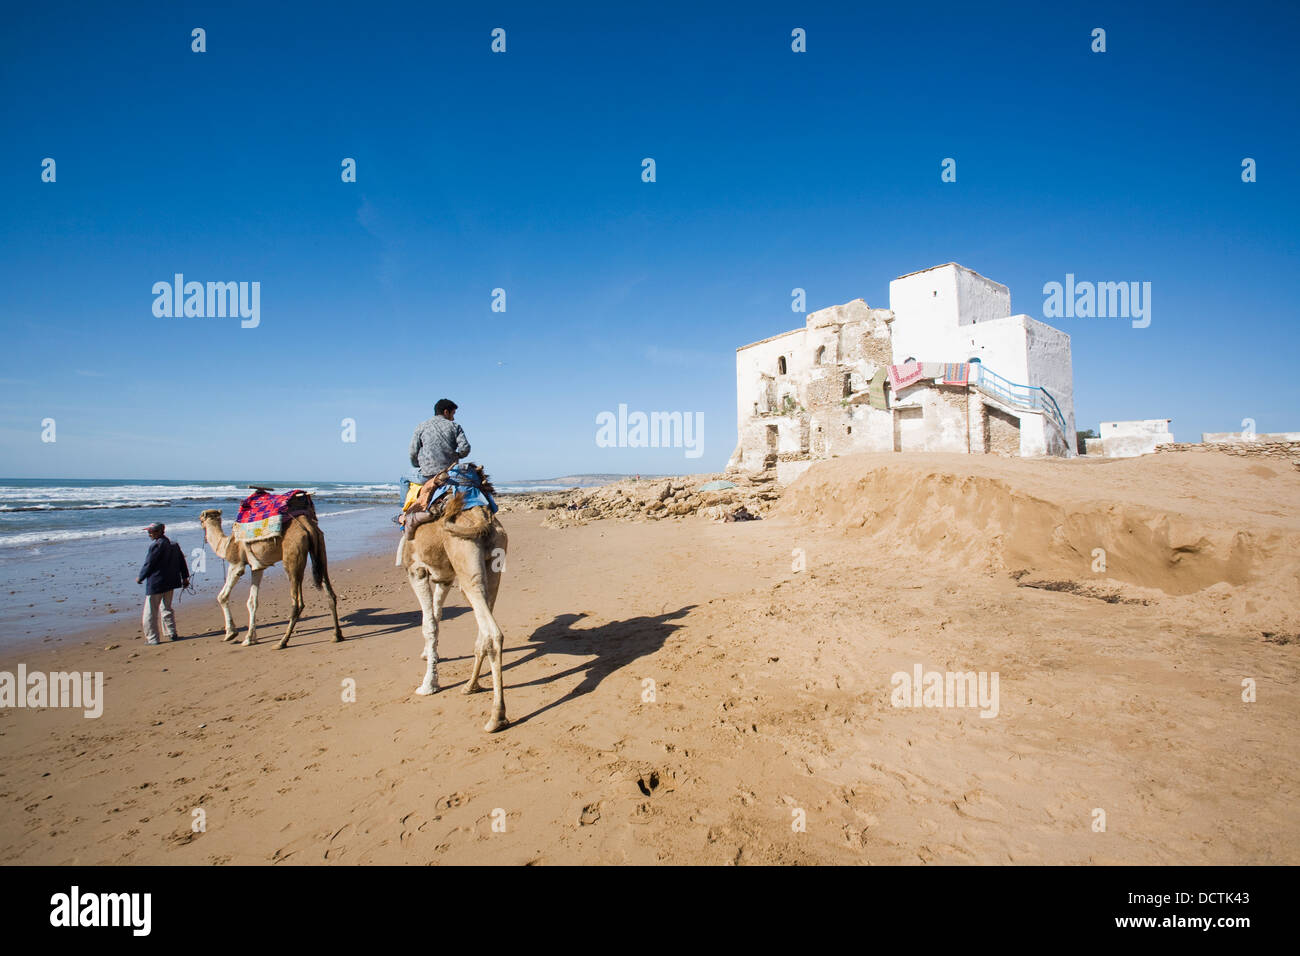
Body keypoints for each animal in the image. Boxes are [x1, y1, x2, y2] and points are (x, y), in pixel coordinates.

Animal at [197, 486, 340, 650]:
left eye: (201, 519)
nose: (202, 529)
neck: (226, 544)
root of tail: (307, 526)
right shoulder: (257, 568)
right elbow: (252, 602)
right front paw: (250, 638)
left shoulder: (236, 564)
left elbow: (222, 596)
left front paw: (231, 633)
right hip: (320, 549)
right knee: (330, 593)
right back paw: (337, 635)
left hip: (292, 558)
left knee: (297, 602)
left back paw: (282, 642)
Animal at [400, 470, 506, 733]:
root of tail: (481, 516)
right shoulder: (444, 578)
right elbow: (437, 616)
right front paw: (428, 657)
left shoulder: (416, 571)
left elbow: (428, 624)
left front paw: (428, 685)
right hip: (492, 565)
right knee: (484, 625)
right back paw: (470, 686)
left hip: (463, 556)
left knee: (493, 633)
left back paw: (496, 717)